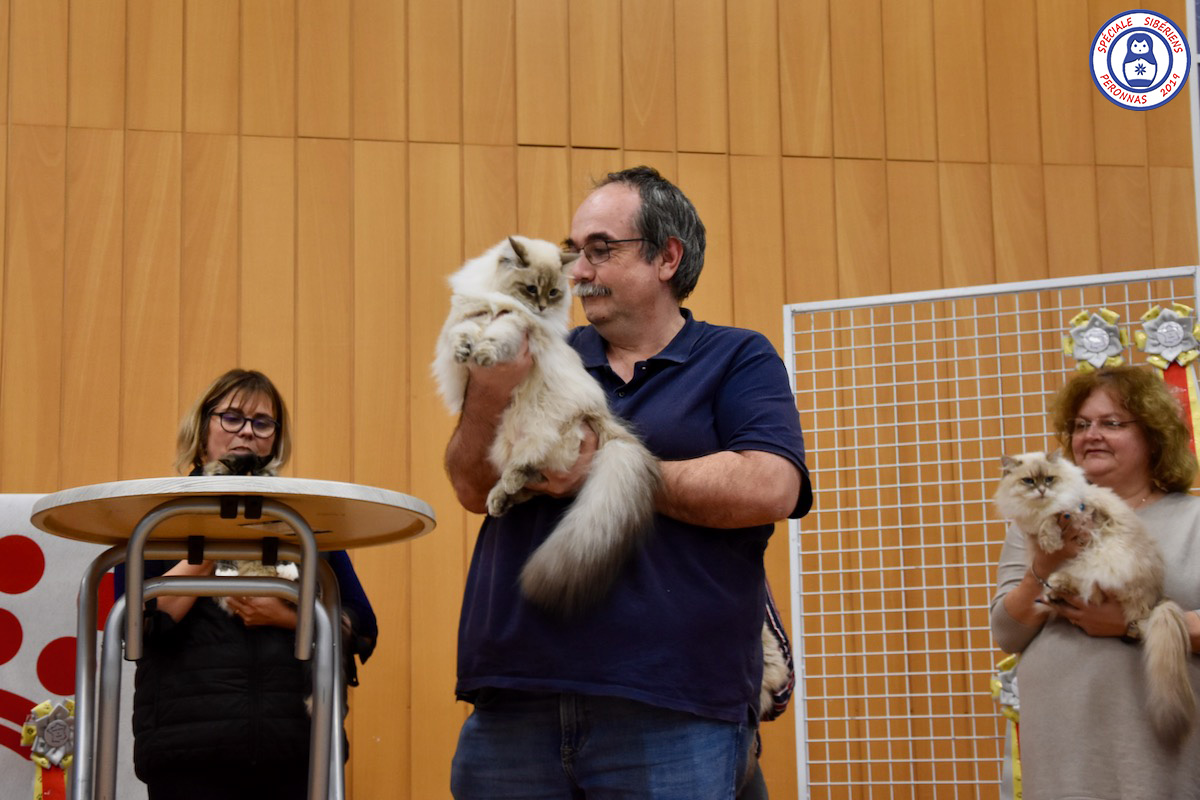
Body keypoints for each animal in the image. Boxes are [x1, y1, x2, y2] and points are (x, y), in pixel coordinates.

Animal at [432, 235, 661, 616]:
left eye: (553, 293)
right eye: (530, 289)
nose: (539, 307)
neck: (498, 297)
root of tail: (603, 419)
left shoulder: (515, 325)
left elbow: (496, 336)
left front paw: (483, 354)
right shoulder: (468, 316)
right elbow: (463, 333)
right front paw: (464, 351)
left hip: (545, 427)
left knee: (530, 467)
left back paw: (508, 485)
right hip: (507, 443)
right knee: (527, 485)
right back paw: (498, 500)